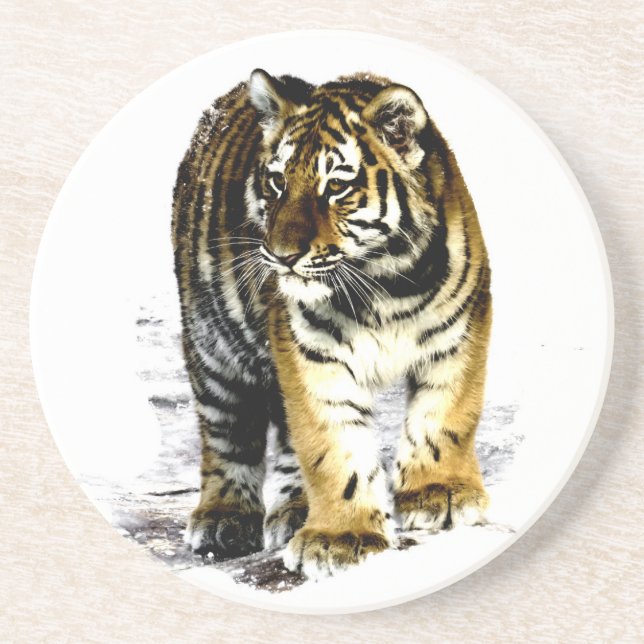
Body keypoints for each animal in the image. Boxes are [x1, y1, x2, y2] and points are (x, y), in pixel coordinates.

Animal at [171, 68, 492, 580]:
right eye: (277, 182)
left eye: (336, 187)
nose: (281, 256)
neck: (386, 282)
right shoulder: (311, 353)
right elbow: (332, 446)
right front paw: (342, 538)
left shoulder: (459, 331)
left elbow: (446, 417)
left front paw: (440, 495)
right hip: (213, 346)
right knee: (227, 433)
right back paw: (224, 519)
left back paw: (295, 510)